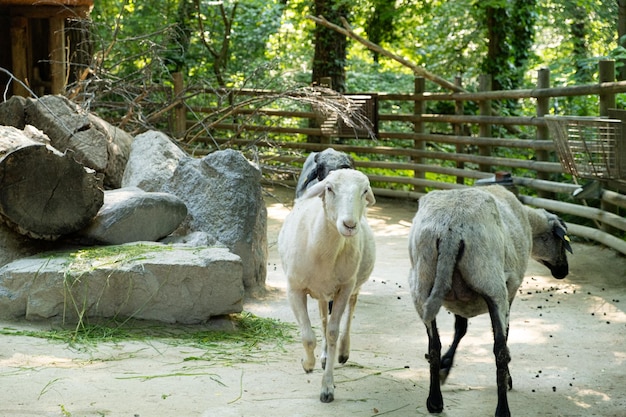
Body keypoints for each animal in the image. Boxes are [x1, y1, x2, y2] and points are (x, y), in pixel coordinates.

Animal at [280, 167, 376, 402]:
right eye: (330, 188)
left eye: (365, 191)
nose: (349, 225)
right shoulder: (294, 289)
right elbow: (308, 337)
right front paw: (307, 364)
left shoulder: (345, 287)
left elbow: (333, 332)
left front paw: (327, 387)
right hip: (322, 293)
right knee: (323, 320)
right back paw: (322, 357)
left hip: (353, 285)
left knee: (349, 314)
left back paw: (343, 351)